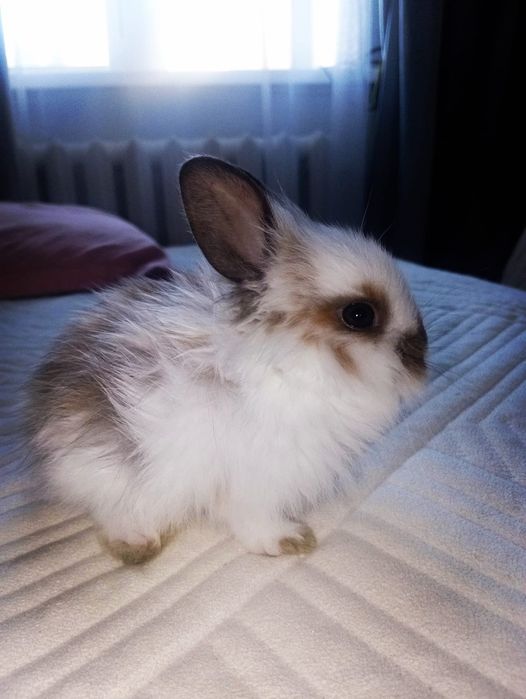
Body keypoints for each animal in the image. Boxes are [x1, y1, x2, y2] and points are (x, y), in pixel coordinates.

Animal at [27, 156, 427, 564]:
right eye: (359, 315)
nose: (421, 359)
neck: (291, 365)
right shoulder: (256, 483)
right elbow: (255, 521)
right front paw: (292, 540)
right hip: (116, 472)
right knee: (118, 513)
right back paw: (138, 547)